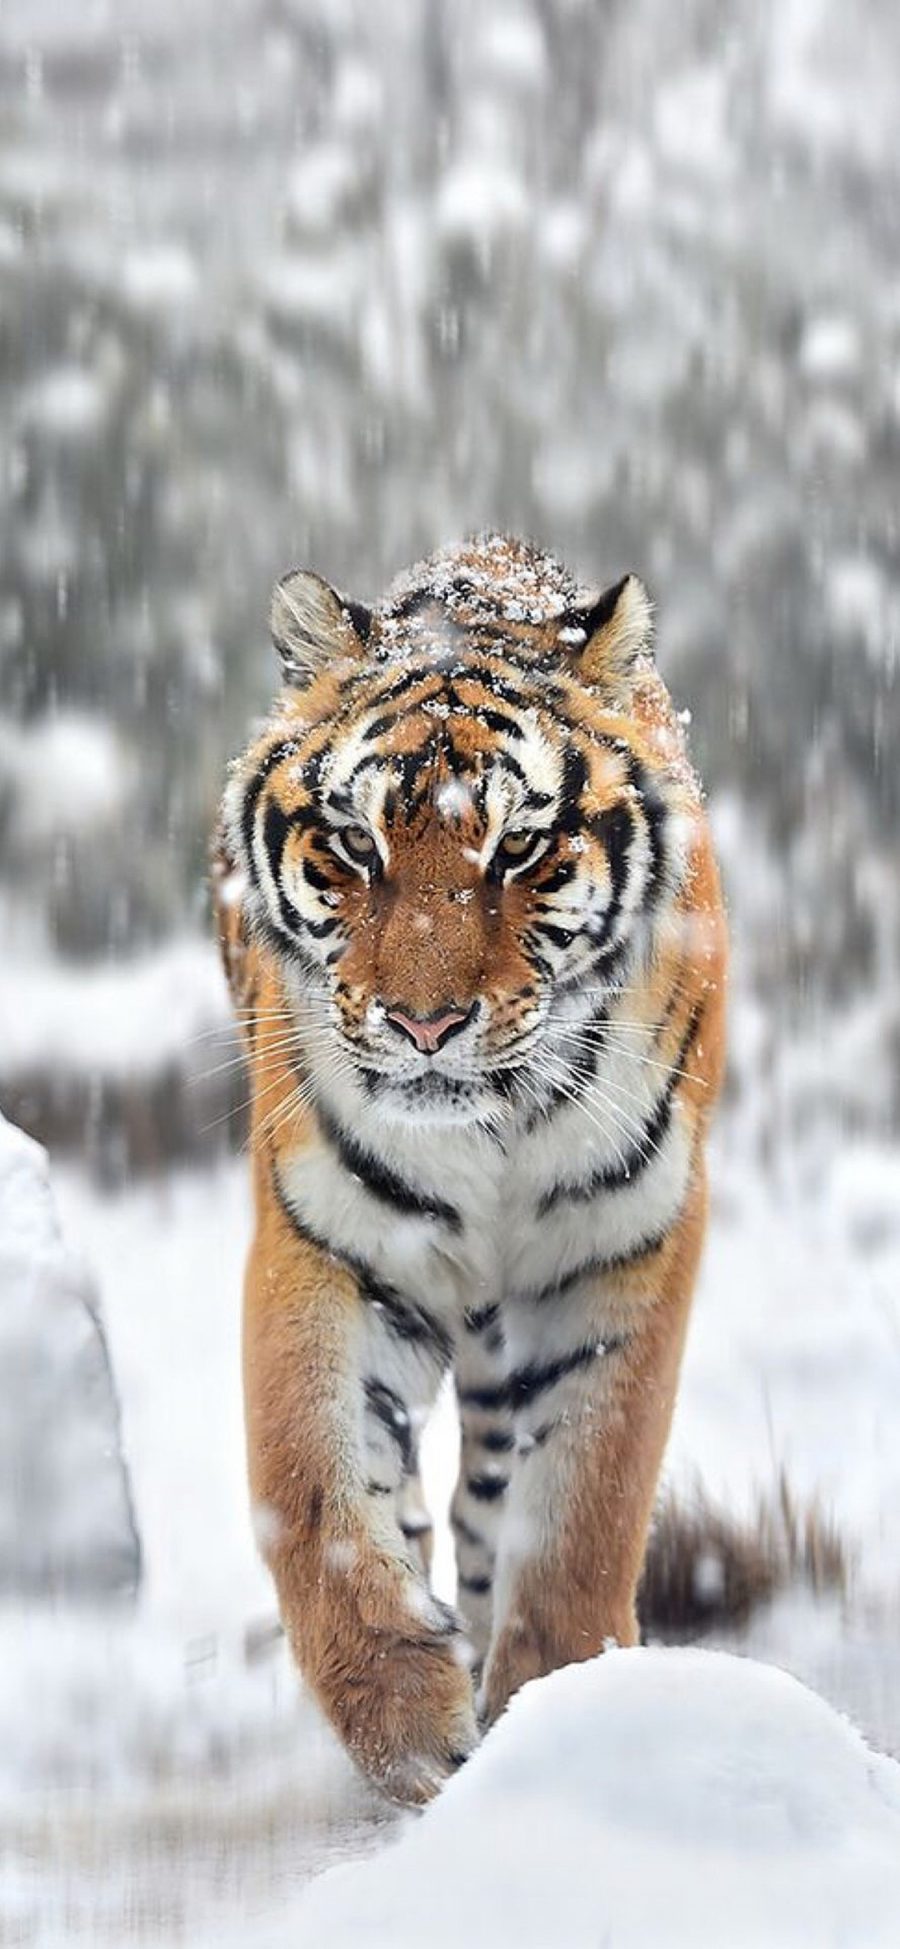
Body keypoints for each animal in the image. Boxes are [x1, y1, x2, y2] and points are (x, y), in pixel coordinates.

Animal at [214, 534, 728, 1808]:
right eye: (356, 844)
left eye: (522, 847)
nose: (425, 1023)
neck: (493, 1126)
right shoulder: (331, 1247)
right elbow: (315, 1492)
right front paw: (408, 1720)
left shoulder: (620, 1253)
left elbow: (584, 1507)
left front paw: (561, 1708)